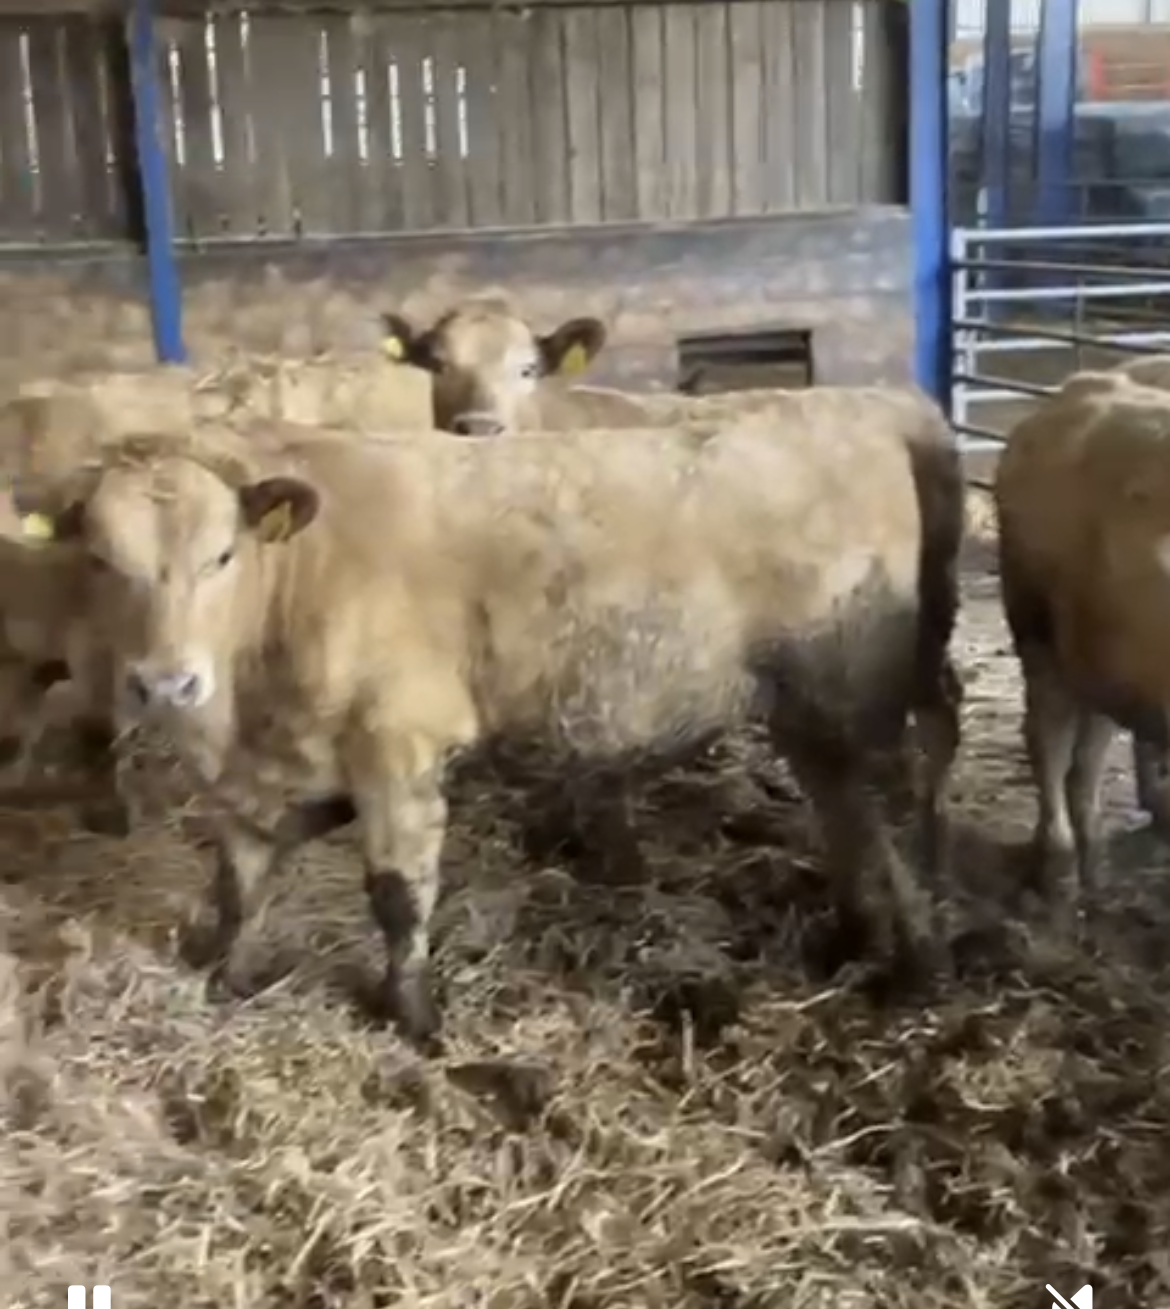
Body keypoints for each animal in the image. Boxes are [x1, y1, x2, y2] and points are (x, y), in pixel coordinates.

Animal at [21, 410, 961, 1047]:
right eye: (100, 559)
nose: (165, 682)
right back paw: (851, 937)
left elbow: (398, 892)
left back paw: (917, 966)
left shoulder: (398, 749)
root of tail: (866, 414)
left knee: (894, 810)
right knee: (844, 811)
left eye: (222, 555)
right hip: (809, 714)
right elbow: (239, 880)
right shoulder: (269, 775)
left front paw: (412, 1013)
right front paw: (227, 971)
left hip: (861, 699)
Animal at [995, 367, 1170, 920]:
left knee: (1088, 752)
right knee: (1048, 740)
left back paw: (1093, 853)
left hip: (1101, 657)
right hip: (1039, 632)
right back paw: (1058, 866)